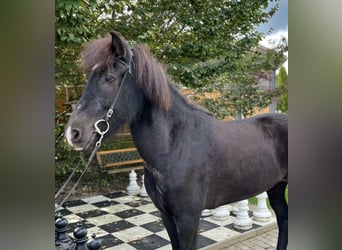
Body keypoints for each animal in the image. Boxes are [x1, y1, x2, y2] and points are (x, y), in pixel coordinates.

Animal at [65, 32, 288, 249]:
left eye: (109, 78)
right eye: (88, 78)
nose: (72, 133)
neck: (174, 145)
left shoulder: (189, 218)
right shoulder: (167, 217)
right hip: (276, 188)